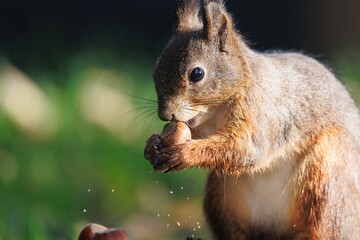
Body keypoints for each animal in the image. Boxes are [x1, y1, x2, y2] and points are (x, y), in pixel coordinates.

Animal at [143, 0, 360, 238]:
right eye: (156, 71)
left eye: (197, 74)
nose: (165, 114)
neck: (217, 110)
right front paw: (152, 144)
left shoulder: (261, 111)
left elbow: (246, 148)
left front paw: (184, 153)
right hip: (223, 198)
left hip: (330, 173)